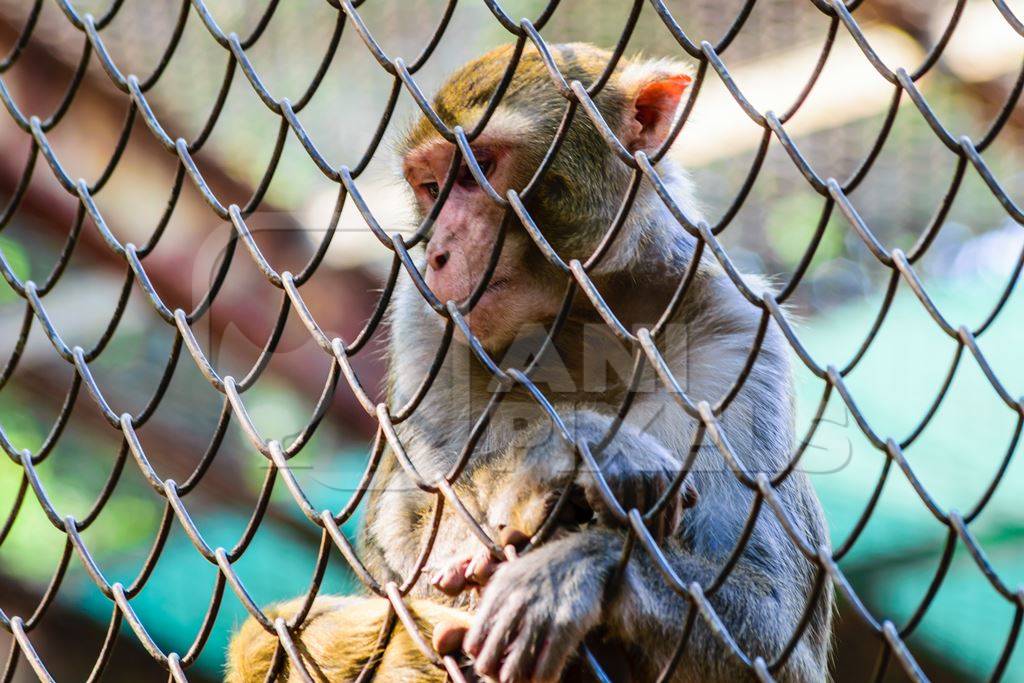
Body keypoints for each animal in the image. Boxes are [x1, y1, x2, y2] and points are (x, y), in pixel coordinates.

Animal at [226, 42, 831, 683]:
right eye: (432, 186)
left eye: (478, 170)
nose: (438, 253)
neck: (577, 329)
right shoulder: (424, 324)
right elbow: (397, 557)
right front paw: (552, 461)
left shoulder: (741, 339)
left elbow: (776, 636)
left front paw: (579, 567)